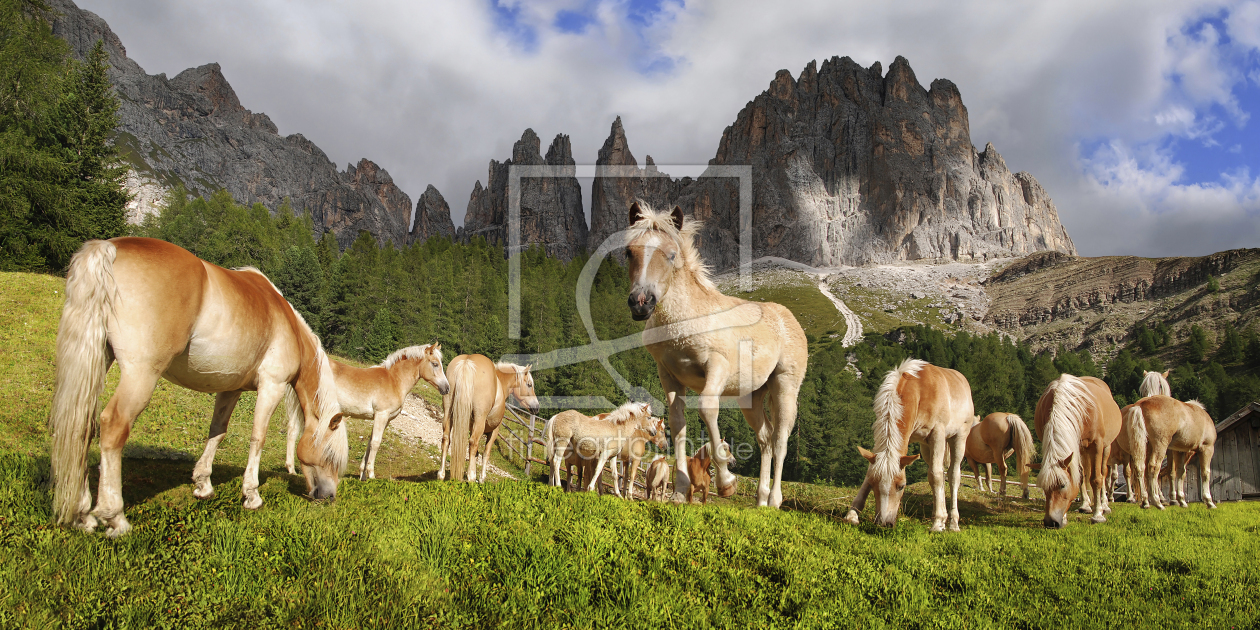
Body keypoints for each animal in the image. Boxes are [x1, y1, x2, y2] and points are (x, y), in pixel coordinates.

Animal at [49, 236, 347, 536]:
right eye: (330, 454)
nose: (329, 497)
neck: (288, 326)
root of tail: (111, 247)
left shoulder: (230, 389)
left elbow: (217, 432)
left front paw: (203, 484)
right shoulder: (271, 386)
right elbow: (258, 437)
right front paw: (251, 495)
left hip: (98, 361)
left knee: (82, 425)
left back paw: (82, 514)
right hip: (141, 374)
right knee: (113, 425)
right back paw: (115, 517)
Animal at [283, 342, 451, 478]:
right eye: (435, 364)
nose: (446, 388)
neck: (394, 380)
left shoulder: (384, 419)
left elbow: (370, 443)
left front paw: (362, 475)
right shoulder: (381, 415)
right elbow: (376, 443)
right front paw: (371, 474)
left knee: (293, 430)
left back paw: (292, 469)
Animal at [619, 201, 806, 506]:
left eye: (671, 254)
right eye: (628, 251)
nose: (641, 303)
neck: (685, 319)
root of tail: (788, 319)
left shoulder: (717, 366)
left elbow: (707, 409)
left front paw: (726, 482)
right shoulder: (668, 374)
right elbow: (678, 422)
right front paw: (680, 490)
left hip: (785, 386)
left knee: (780, 440)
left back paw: (775, 500)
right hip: (751, 396)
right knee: (765, 438)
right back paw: (761, 500)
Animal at [841, 360, 977, 531]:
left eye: (901, 486)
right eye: (873, 484)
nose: (884, 523)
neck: (919, 390)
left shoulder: (938, 433)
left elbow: (936, 475)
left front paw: (938, 522)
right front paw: (852, 514)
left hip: (959, 438)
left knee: (953, 475)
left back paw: (952, 522)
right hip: (926, 447)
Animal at [1033, 372, 1123, 526]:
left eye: (1063, 485)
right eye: (1044, 488)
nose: (1051, 522)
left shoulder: (1096, 445)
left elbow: (1096, 479)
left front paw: (1098, 514)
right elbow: (1079, 477)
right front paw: (1065, 516)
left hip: (1106, 447)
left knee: (1103, 473)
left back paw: (1104, 505)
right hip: (1081, 450)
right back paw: (1085, 505)